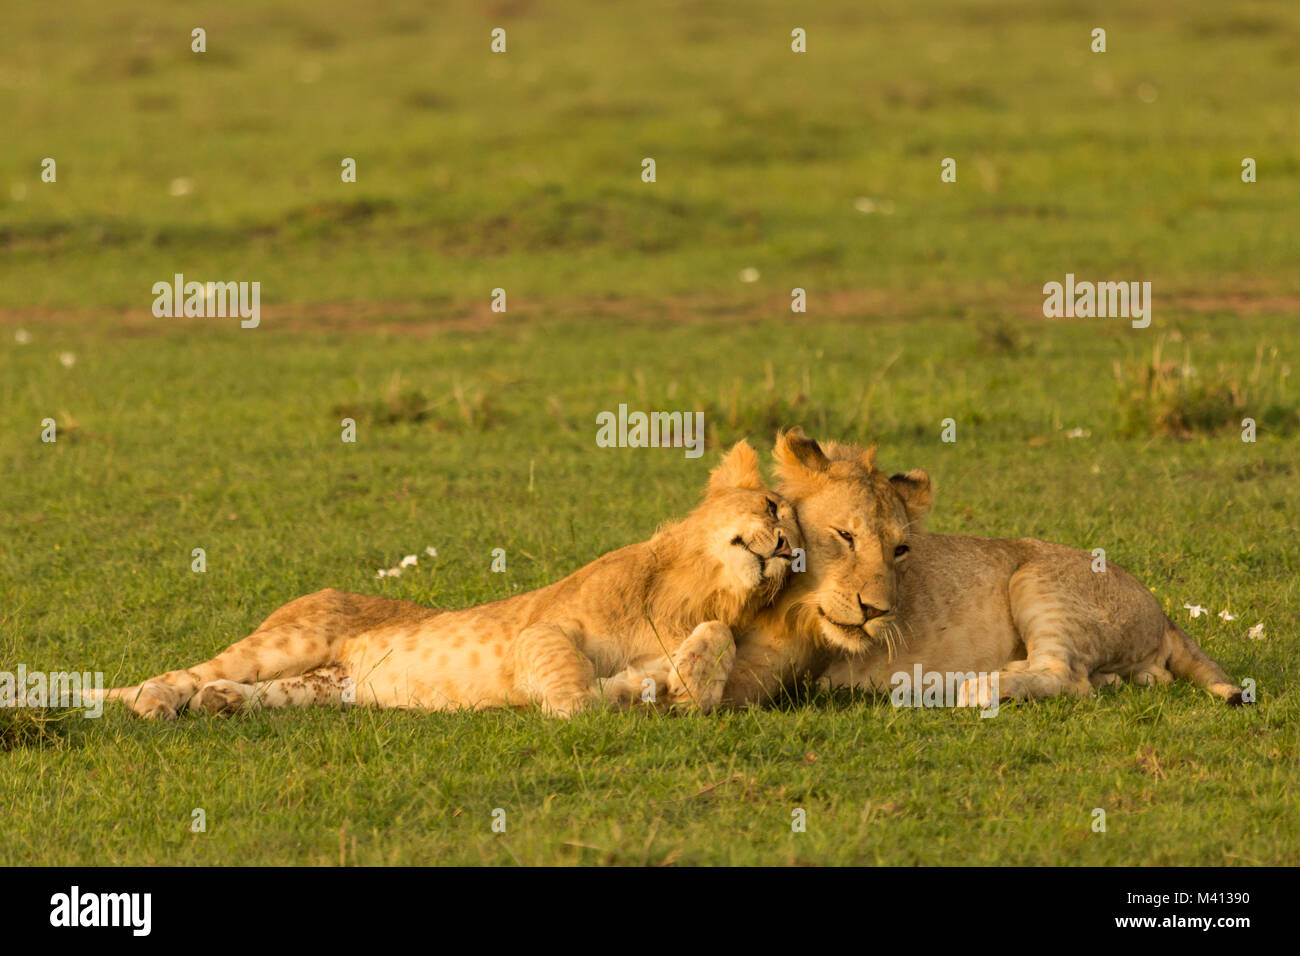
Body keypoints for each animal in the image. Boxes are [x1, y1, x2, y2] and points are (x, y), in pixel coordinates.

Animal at [96, 441, 802, 719]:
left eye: (799, 561)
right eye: (773, 508)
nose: (784, 548)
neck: (690, 589)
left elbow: (711, 649)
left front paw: (666, 688)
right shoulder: (538, 631)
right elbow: (572, 684)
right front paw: (588, 703)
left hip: (326, 686)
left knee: (256, 691)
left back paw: (220, 702)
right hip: (287, 641)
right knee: (175, 674)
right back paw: (154, 701)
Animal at [766, 430, 1245, 706]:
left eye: (900, 550)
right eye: (845, 536)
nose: (876, 611)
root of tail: (1164, 614)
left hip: (1034, 578)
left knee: (1069, 678)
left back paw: (979, 687)